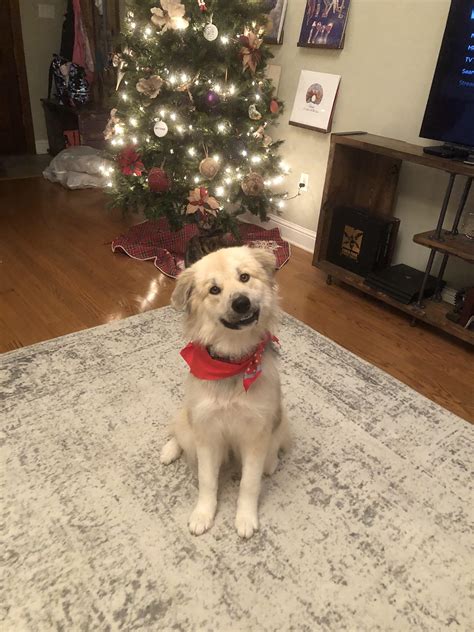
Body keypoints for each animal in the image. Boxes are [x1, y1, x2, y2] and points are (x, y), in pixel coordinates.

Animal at [161, 247, 288, 540]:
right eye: (214, 289)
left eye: (244, 277)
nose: (241, 303)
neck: (234, 361)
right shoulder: (206, 432)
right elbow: (207, 481)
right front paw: (203, 514)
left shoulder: (256, 434)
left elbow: (249, 483)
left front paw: (245, 518)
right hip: (188, 419)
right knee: (180, 432)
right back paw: (169, 450)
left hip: (279, 420)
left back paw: (272, 462)